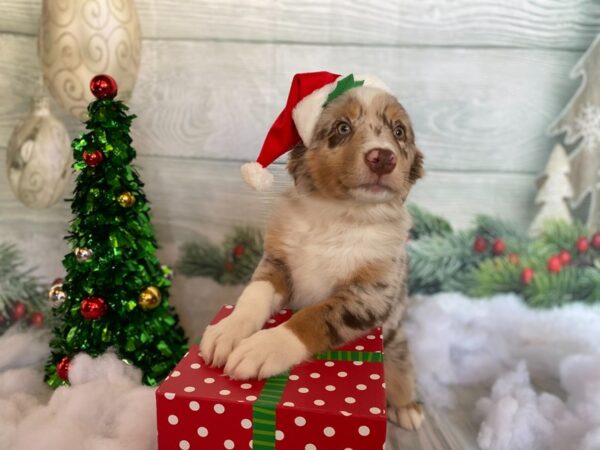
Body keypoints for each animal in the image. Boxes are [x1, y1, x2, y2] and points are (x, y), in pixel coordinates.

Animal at [200, 83, 422, 428]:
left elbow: (314, 316)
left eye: (399, 132)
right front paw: (228, 330)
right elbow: (254, 295)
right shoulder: (277, 262)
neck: (339, 215)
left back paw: (407, 405)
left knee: (402, 361)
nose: (383, 158)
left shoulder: (371, 293)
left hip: (395, 333)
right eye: (342, 128)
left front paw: (262, 348)